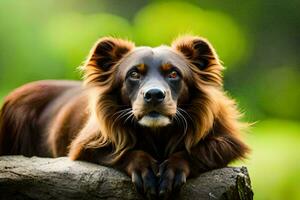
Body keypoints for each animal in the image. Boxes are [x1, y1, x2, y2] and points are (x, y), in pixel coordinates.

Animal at [0, 35, 248, 198]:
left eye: (174, 74)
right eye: (134, 74)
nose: (154, 95)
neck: (157, 133)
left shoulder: (228, 142)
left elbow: (196, 150)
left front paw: (173, 169)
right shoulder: (86, 146)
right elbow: (123, 151)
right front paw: (144, 169)